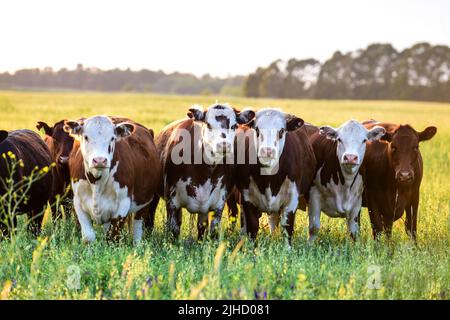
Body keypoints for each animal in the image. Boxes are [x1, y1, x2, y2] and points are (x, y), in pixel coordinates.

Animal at [154, 104, 253, 239]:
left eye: (234, 126)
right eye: (208, 124)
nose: (223, 145)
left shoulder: (218, 203)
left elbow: (210, 230)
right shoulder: (171, 201)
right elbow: (174, 230)